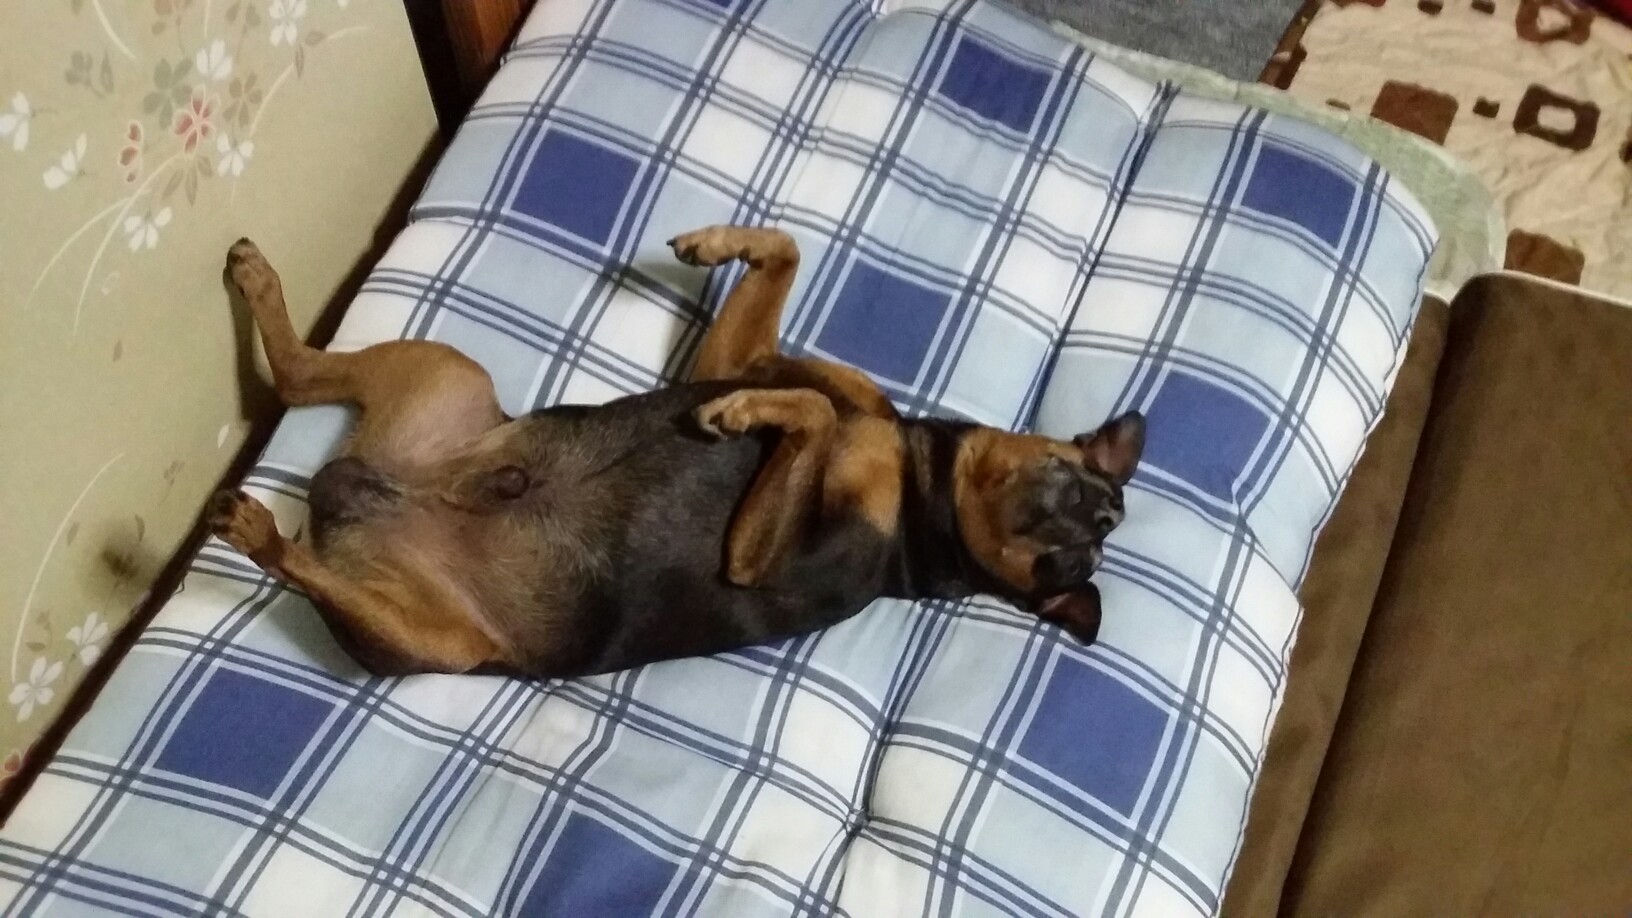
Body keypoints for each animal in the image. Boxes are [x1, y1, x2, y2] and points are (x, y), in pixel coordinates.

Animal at [210, 225, 1143, 677]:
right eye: (1078, 483)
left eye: (1065, 568)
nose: (1074, 523)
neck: (921, 485)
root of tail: (350, 493)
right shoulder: (743, 363)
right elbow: (789, 279)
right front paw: (718, 243)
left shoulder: (756, 560)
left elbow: (806, 411)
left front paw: (741, 417)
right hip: (444, 376)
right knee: (297, 374)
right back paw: (257, 282)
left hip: (436, 643)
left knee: (305, 555)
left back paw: (257, 529)